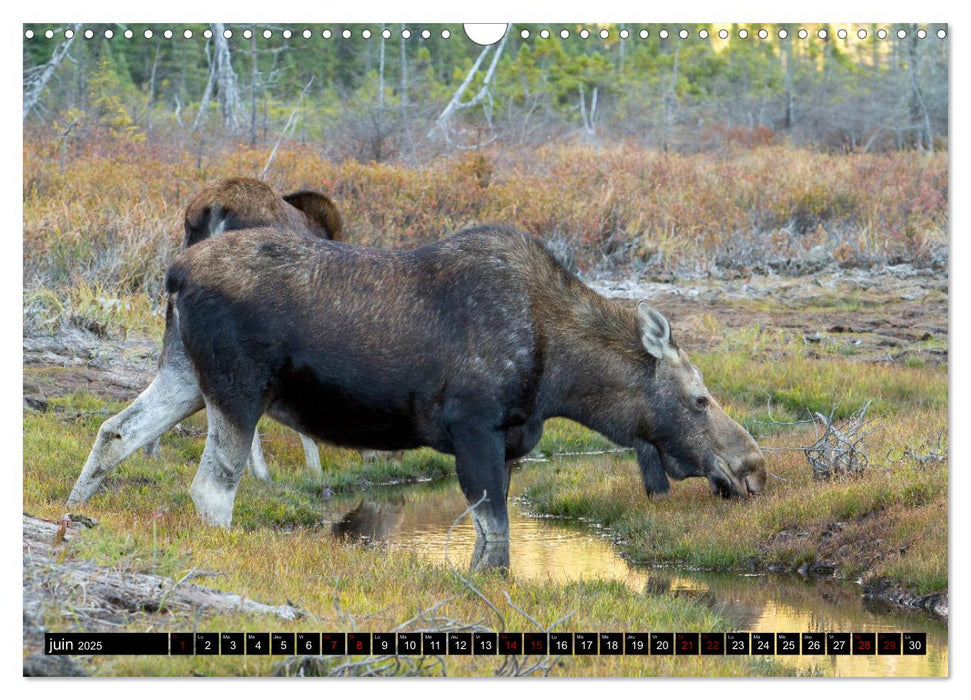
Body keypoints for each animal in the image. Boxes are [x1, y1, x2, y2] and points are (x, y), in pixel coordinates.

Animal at [68, 224, 768, 568]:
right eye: (700, 400)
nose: (754, 467)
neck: (563, 376)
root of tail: (174, 273)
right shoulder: (473, 428)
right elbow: (496, 538)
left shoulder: (508, 442)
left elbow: (493, 535)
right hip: (239, 389)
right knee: (211, 486)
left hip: (187, 375)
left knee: (116, 429)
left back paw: (73, 515)